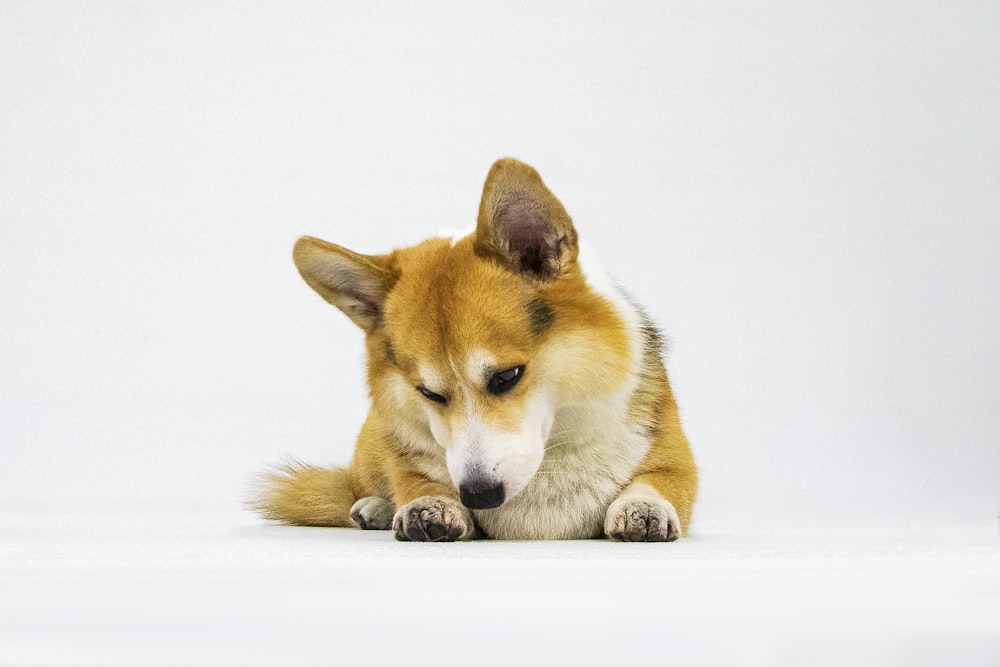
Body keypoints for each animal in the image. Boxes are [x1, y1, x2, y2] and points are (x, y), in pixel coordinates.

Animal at [254, 159, 700, 540]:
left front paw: (644, 509)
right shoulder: (409, 457)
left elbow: (659, 481)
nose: (478, 496)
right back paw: (374, 507)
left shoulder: (676, 461)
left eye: (507, 376)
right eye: (429, 393)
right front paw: (426, 504)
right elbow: (413, 479)